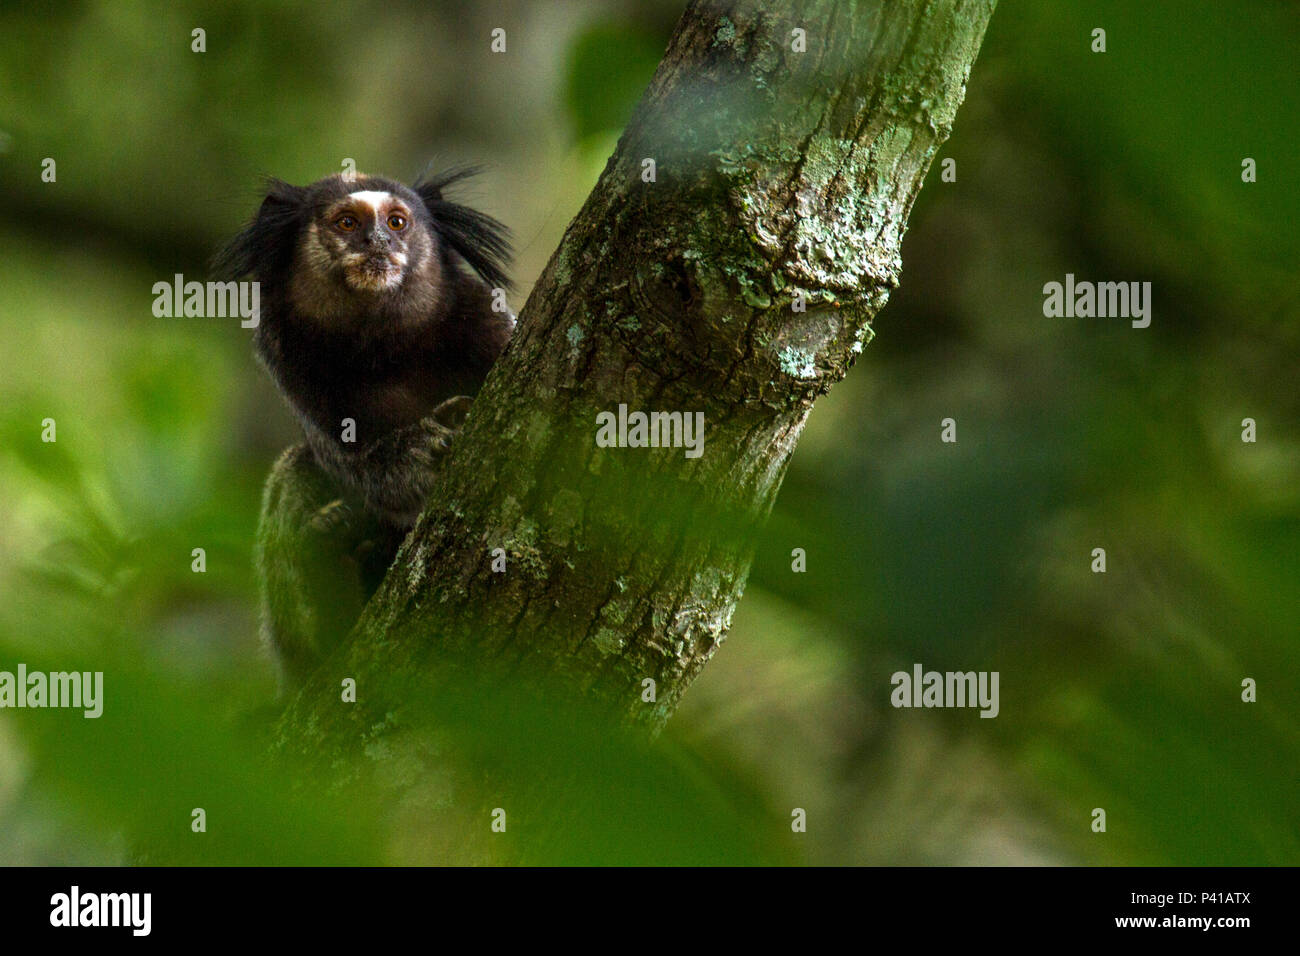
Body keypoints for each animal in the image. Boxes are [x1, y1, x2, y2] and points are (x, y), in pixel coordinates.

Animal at [213, 166, 512, 686]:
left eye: (396, 222)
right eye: (347, 223)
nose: (377, 241)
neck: (384, 347)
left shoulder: (483, 318)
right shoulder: (290, 358)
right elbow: (361, 465)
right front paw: (424, 449)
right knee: (297, 468)